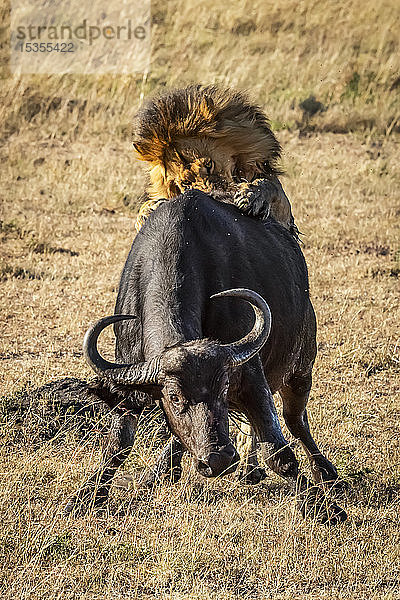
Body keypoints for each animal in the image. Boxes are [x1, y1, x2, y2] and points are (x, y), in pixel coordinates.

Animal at [133, 84, 298, 239]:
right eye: (185, 183)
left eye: (209, 165)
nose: (215, 198)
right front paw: (146, 211)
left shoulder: (283, 215)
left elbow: (268, 185)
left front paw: (251, 195)